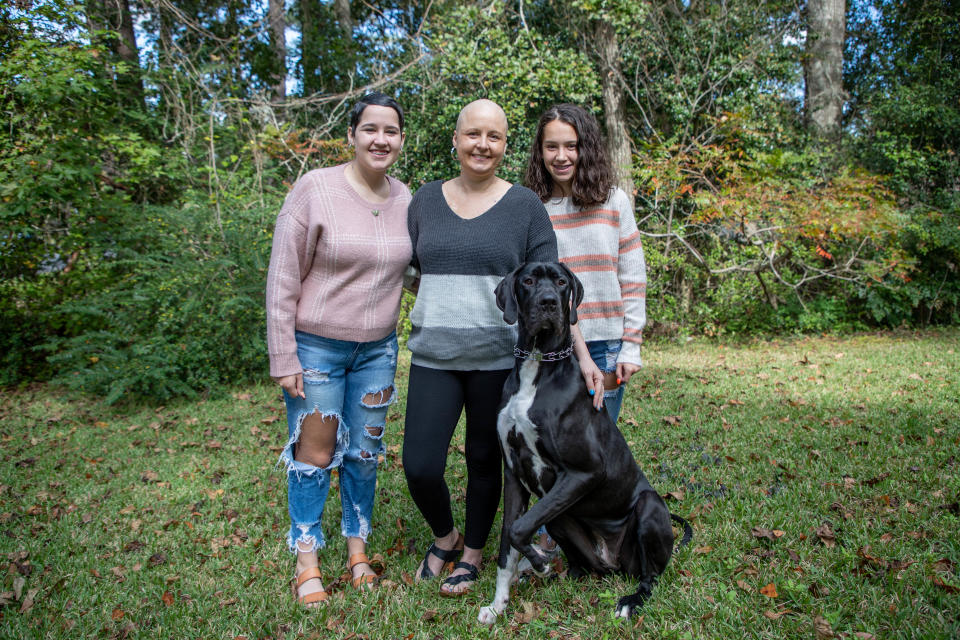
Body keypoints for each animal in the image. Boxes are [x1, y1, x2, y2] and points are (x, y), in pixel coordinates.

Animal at [478, 262, 688, 624]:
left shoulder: (584, 471)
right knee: (585, 567)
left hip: (649, 507)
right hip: (560, 518)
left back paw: (630, 600)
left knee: (650, 577)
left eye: (561, 282)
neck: (538, 364)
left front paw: (539, 562)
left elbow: (519, 528)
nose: (549, 302)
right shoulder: (514, 473)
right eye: (528, 281)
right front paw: (498, 604)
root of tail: (614, 561)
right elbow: (508, 539)